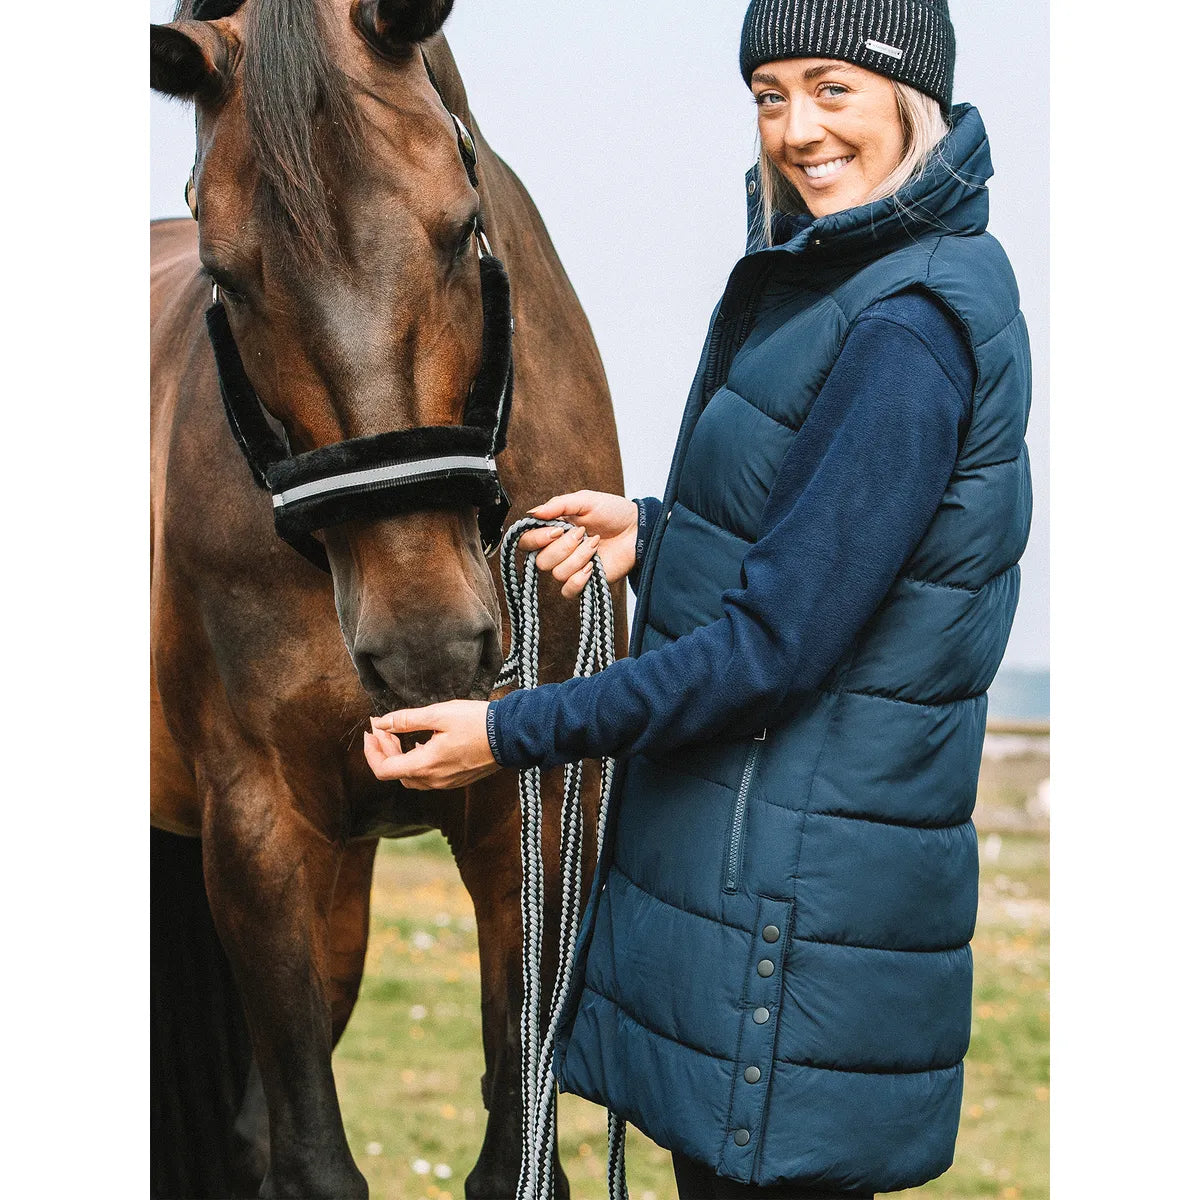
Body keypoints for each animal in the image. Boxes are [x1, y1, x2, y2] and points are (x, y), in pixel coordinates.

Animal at [150, 2, 626, 1195]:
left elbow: (520, 1149)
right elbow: (310, 1159)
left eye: (460, 229)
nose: (428, 650)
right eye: (226, 277)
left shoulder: (538, 812)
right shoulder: (260, 831)